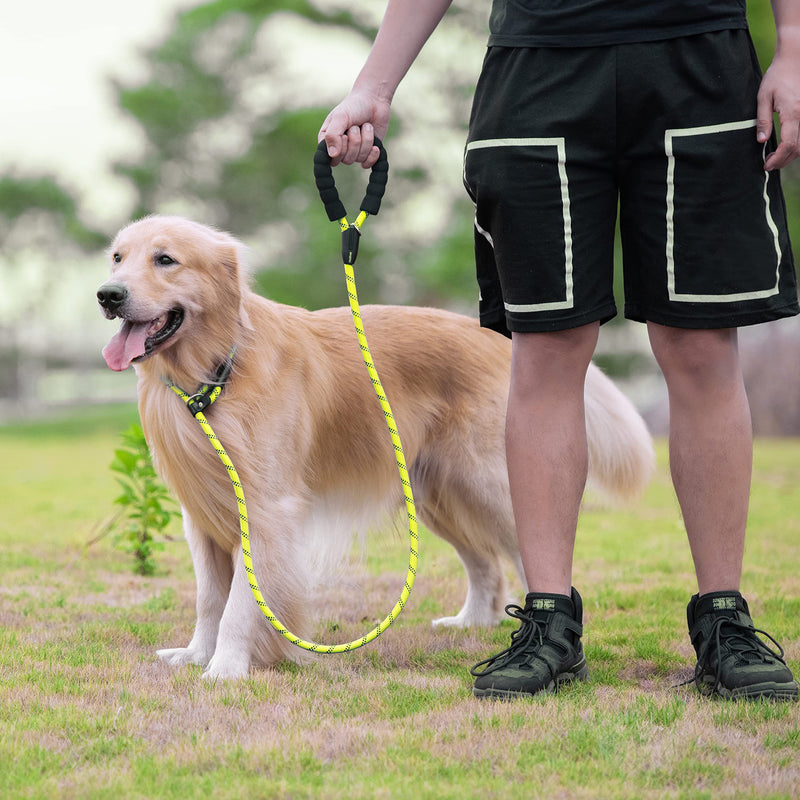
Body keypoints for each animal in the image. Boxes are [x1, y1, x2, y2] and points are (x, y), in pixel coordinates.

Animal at [97, 216, 652, 680]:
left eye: (165, 259)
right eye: (117, 257)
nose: (107, 294)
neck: (216, 374)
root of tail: (498, 337)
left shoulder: (267, 509)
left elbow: (240, 602)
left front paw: (227, 667)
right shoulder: (201, 516)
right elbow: (209, 599)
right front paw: (196, 654)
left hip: (488, 482)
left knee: (525, 551)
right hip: (436, 494)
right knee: (486, 564)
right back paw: (471, 622)